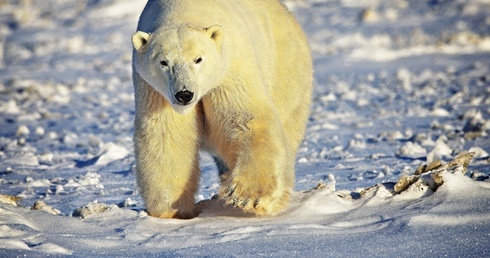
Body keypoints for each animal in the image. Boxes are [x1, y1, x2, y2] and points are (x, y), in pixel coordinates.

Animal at [132, 0, 312, 220]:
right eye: (164, 62)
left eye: (198, 59)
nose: (184, 94)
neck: (182, 11)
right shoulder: (155, 90)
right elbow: (167, 134)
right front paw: (173, 210)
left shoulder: (230, 68)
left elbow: (245, 118)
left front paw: (249, 196)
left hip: (286, 72)